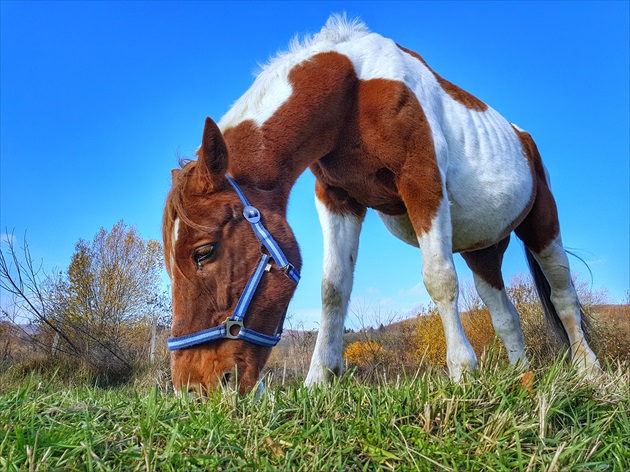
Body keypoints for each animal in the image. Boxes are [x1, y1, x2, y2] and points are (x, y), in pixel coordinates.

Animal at [163, 15, 604, 394]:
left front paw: (462, 371)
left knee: (564, 298)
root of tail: (522, 137)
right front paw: (319, 379)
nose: (192, 387)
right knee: (506, 315)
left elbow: (439, 278)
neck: (356, 90)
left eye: (203, 252)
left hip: (542, 225)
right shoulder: (338, 199)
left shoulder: (422, 182)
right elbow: (334, 289)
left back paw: (589, 370)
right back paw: (521, 377)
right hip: (483, 249)